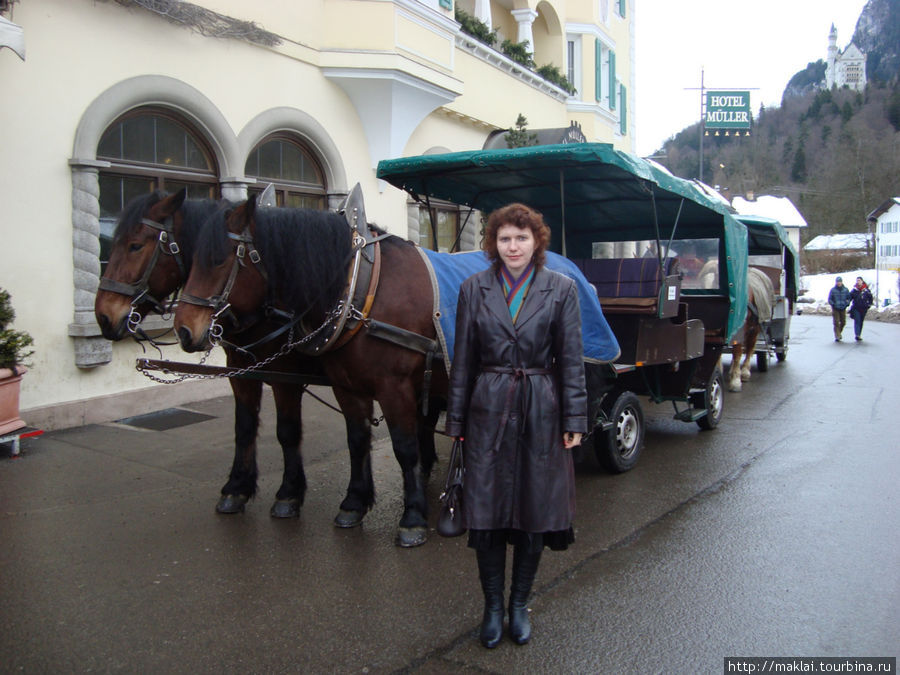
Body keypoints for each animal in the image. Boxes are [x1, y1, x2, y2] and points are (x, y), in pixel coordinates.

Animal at [95, 190, 326, 516]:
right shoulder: (241, 371)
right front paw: (237, 487)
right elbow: (244, 426)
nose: (103, 316)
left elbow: (287, 430)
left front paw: (289, 493)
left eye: (135, 245)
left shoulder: (286, 376)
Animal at [173, 195, 442, 548]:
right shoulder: (346, 387)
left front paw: (412, 517)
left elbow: (404, 448)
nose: (183, 330)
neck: (364, 287)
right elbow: (356, 440)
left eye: (218, 261)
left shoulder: (394, 388)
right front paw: (354, 502)